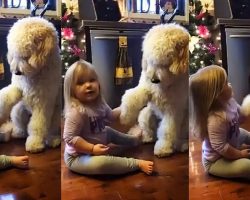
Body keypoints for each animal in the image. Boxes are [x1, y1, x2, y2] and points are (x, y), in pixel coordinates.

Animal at [0, 17, 61, 152]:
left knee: (52, 130)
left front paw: (34, 143)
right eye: (14, 54)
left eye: (26, 56)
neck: (33, 75)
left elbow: (37, 126)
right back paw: (18, 132)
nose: (17, 72)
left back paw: (53, 140)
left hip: (55, 116)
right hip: (18, 111)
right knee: (20, 123)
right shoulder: (18, 90)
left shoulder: (42, 104)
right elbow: (8, 95)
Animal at [120, 23, 188, 157]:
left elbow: (167, 130)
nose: (154, 80)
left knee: (180, 136)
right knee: (149, 130)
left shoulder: (173, 111)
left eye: (166, 62)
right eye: (151, 60)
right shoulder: (145, 88)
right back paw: (147, 137)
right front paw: (125, 116)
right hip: (145, 114)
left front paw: (163, 148)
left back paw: (182, 145)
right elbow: (131, 97)